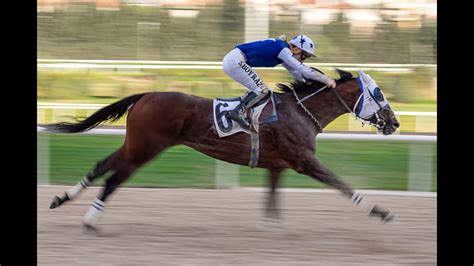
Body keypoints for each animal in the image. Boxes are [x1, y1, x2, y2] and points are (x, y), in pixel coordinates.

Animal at [45, 68, 400, 231]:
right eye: (378, 93)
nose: (395, 123)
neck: (300, 111)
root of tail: (146, 94)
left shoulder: (278, 165)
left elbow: (272, 197)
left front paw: (271, 227)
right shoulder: (304, 160)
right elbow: (342, 184)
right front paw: (381, 211)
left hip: (135, 144)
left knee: (101, 165)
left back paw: (61, 199)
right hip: (146, 147)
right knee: (114, 179)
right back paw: (90, 220)